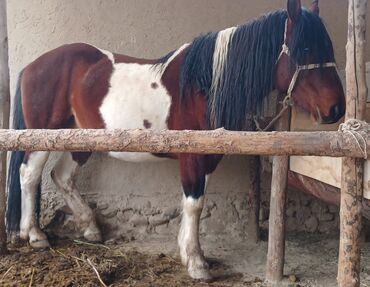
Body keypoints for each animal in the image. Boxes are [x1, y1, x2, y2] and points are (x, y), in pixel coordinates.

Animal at [7, 0, 346, 282]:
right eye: (304, 49)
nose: (336, 109)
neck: (203, 85)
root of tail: (32, 66)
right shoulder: (192, 157)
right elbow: (194, 204)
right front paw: (197, 264)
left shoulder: (208, 155)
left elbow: (194, 203)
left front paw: (187, 251)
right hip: (43, 136)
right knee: (30, 175)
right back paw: (35, 235)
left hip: (80, 138)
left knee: (61, 175)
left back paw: (91, 229)